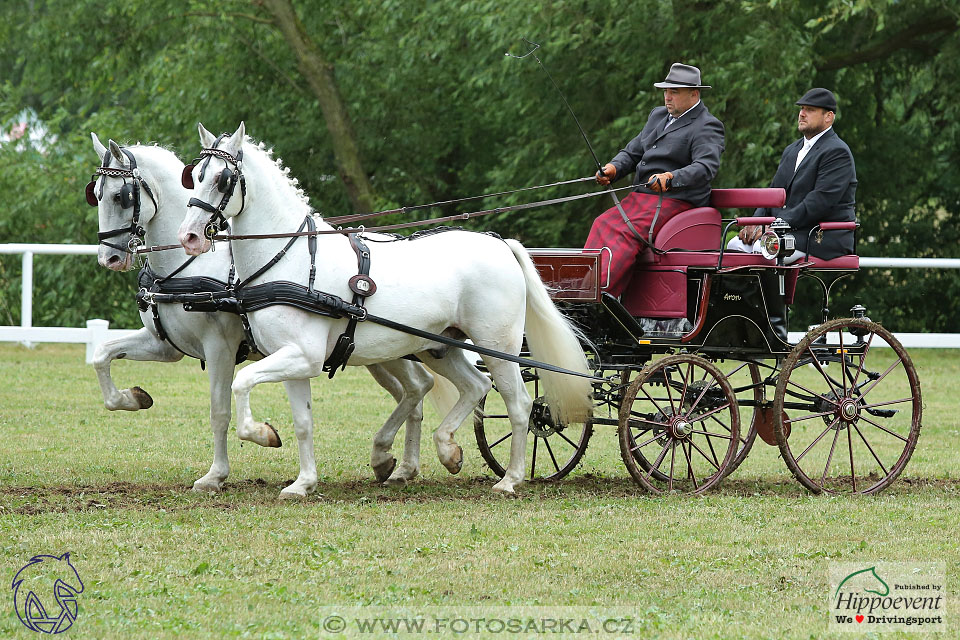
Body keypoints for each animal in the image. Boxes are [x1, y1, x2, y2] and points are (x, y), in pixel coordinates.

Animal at [86, 135, 438, 490]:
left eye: (121, 196)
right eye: (96, 194)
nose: (109, 258)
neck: (188, 267)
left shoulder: (220, 348)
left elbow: (219, 411)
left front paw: (216, 474)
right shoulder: (165, 345)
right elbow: (102, 354)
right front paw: (130, 398)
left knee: (417, 388)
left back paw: (398, 458)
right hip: (381, 352)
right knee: (415, 389)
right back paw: (399, 464)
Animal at [175, 124, 588, 496]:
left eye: (223, 179)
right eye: (195, 177)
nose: (188, 236)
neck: (292, 258)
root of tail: (501, 245)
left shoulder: (303, 356)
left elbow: (241, 382)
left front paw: (262, 434)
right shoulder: (292, 358)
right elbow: (303, 421)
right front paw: (303, 483)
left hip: (497, 346)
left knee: (519, 405)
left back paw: (510, 479)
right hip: (441, 347)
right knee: (475, 385)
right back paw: (447, 449)